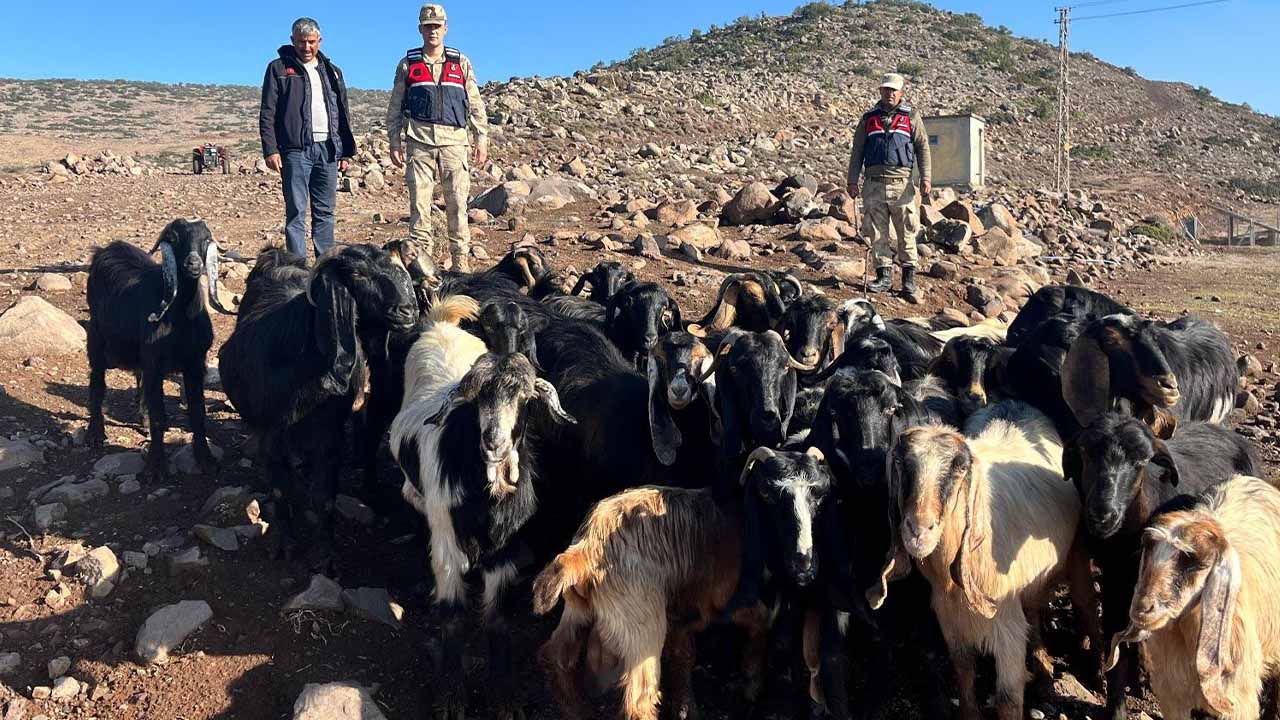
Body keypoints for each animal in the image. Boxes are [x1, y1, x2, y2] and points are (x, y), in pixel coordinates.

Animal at [86, 215, 234, 479]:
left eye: (206, 239)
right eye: (174, 239)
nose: (193, 263)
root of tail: (105, 250)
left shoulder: (195, 364)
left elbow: (198, 413)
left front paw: (206, 459)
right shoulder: (155, 364)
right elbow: (159, 416)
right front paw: (156, 468)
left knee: (138, 380)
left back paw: (141, 421)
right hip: (96, 339)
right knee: (97, 382)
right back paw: (95, 434)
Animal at [218, 243, 414, 563]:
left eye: (393, 269)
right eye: (358, 274)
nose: (407, 311)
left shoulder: (330, 438)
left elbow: (324, 497)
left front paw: (324, 554)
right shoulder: (271, 438)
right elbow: (280, 491)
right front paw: (286, 545)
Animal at [1064, 409, 1264, 717]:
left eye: (1140, 461)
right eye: (1085, 453)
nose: (1102, 515)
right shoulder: (1115, 580)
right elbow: (1115, 639)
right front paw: (1117, 705)